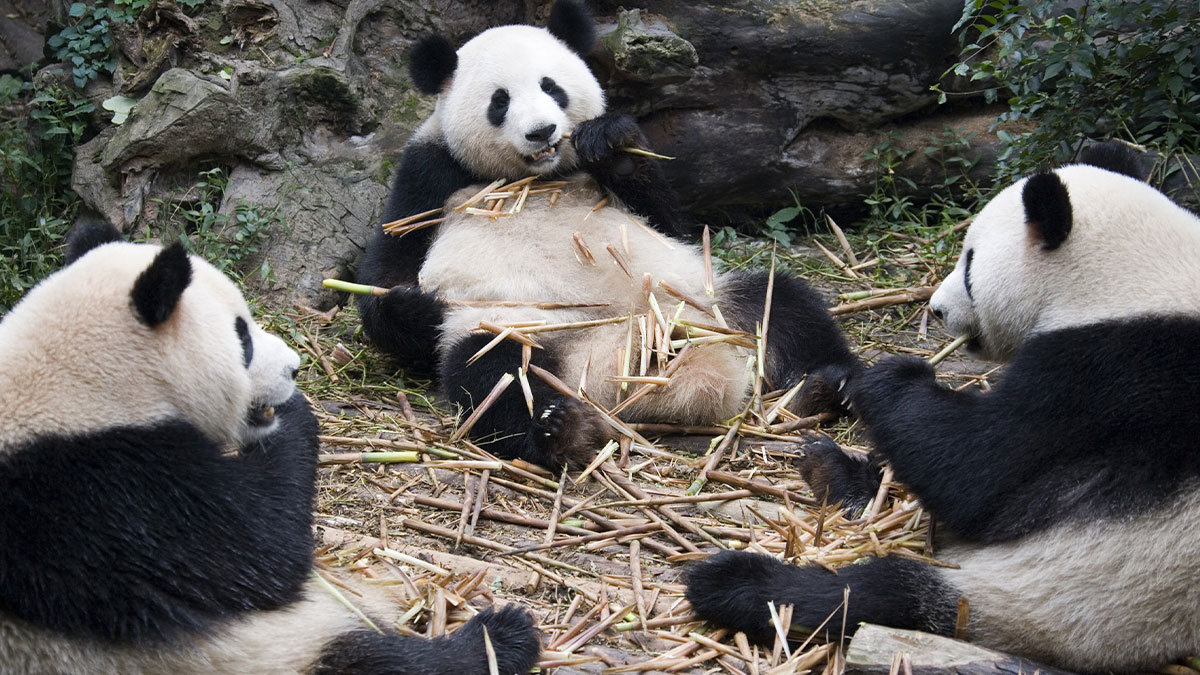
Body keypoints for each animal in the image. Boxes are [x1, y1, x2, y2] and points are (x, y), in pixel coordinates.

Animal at [0, 221, 541, 674]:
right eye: (241, 336)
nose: (295, 368)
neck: (77, 384)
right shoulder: (104, 499)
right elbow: (259, 554)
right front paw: (294, 417)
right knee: (376, 664)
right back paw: (503, 636)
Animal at [355, 0, 857, 469]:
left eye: (551, 87)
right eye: (500, 101)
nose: (542, 131)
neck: (538, 177)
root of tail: (624, 368)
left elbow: (668, 220)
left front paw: (611, 144)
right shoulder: (429, 174)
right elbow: (390, 265)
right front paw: (416, 304)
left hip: (705, 302)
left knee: (783, 303)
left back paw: (825, 386)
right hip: (519, 330)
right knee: (494, 374)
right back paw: (560, 429)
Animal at [684, 144, 1200, 673]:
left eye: (970, 265)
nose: (935, 309)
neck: (1133, 276)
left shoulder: (1105, 369)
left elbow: (975, 472)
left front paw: (893, 376)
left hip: (1057, 594)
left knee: (867, 595)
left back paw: (735, 582)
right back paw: (832, 469)